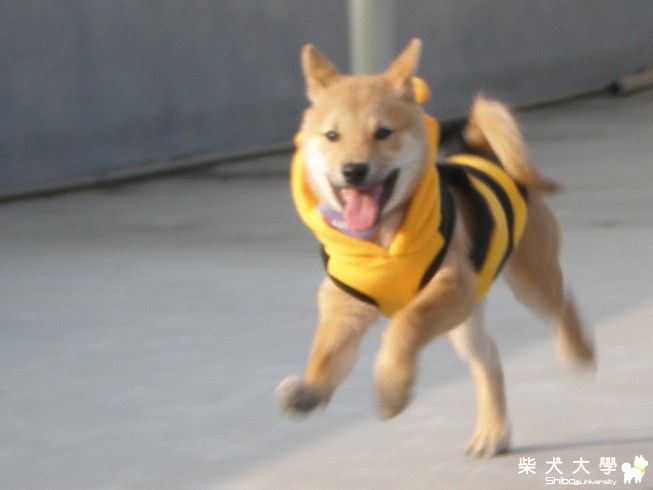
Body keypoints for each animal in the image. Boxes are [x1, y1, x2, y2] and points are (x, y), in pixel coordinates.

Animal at [276, 38, 595, 457]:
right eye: (332, 136)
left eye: (383, 133)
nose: (353, 170)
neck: (380, 243)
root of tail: (485, 154)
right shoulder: (345, 307)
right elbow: (326, 354)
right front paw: (310, 390)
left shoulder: (448, 287)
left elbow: (405, 326)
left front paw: (392, 387)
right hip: (465, 317)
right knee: (489, 357)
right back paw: (493, 431)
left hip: (528, 280)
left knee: (563, 302)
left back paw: (579, 350)